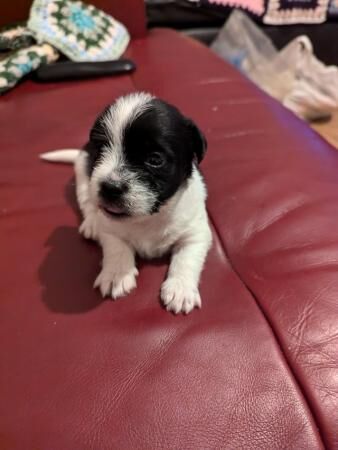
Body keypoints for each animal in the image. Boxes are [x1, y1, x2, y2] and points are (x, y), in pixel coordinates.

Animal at [41, 93, 211, 314]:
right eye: (100, 149)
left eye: (155, 159)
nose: (110, 188)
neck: (148, 218)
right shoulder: (109, 229)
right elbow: (117, 247)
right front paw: (116, 274)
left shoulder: (196, 232)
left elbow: (187, 258)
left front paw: (180, 288)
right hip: (82, 172)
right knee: (87, 201)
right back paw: (91, 222)